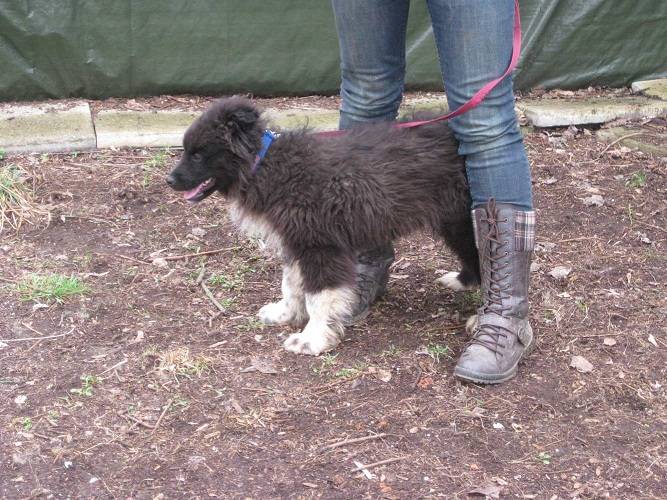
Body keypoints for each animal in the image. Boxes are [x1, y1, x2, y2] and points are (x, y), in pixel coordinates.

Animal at [167, 97, 480, 355]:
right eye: (187, 151)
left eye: (198, 154)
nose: (169, 181)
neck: (265, 164)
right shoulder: (295, 242)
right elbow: (291, 284)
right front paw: (285, 314)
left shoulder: (320, 246)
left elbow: (318, 297)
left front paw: (312, 338)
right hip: (454, 222)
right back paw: (462, 281)